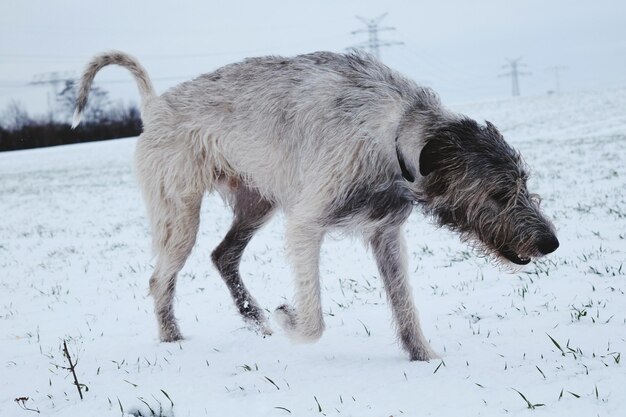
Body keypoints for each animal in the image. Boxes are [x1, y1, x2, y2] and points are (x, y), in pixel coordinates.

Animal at [72, 49, 556, 360]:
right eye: (498, 194)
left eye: (524, 182)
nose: (550, 243)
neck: (395, 133)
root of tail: (155, 106)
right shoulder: (308, 222)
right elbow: (314, 321)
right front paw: (289, 318)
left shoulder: (386, 233)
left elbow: (404, 305)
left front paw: (424, 358)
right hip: (180, 214)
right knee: (161, 278)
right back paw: (174, 339)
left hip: (257, 201)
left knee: (223, 254)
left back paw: (254, 319)